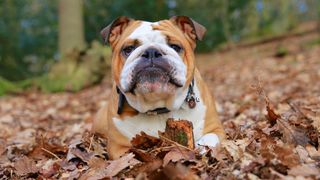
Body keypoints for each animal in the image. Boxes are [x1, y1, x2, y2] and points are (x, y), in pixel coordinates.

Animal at [92, 15, 225, 159]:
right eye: (128, 49)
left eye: (175, 47)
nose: (151, 52)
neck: (157, 107)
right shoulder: (117, 147)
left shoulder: (216, 129)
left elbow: (211, 137)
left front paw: (202, 148)